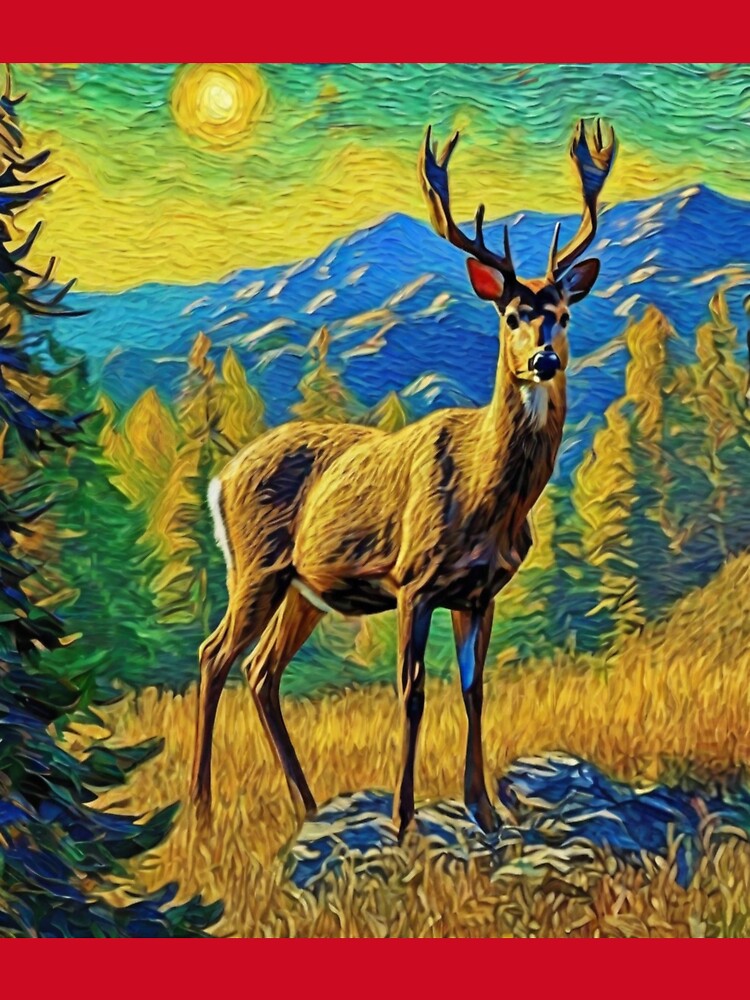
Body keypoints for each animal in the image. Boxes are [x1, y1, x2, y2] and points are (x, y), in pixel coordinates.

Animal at [191, 117, 617, 839]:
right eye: (512, 316)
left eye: (563, 314)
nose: (544, 360)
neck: (488, 499)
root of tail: (221, 480)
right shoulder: (413, 579)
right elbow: (413, 692)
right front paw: (403, 815)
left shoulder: (480, 592)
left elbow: (474, 691)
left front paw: (484, 810)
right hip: (256, 565)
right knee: (214, 655)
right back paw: (200, 808)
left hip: (304, 589)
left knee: (261, 670)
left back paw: (309, 803)